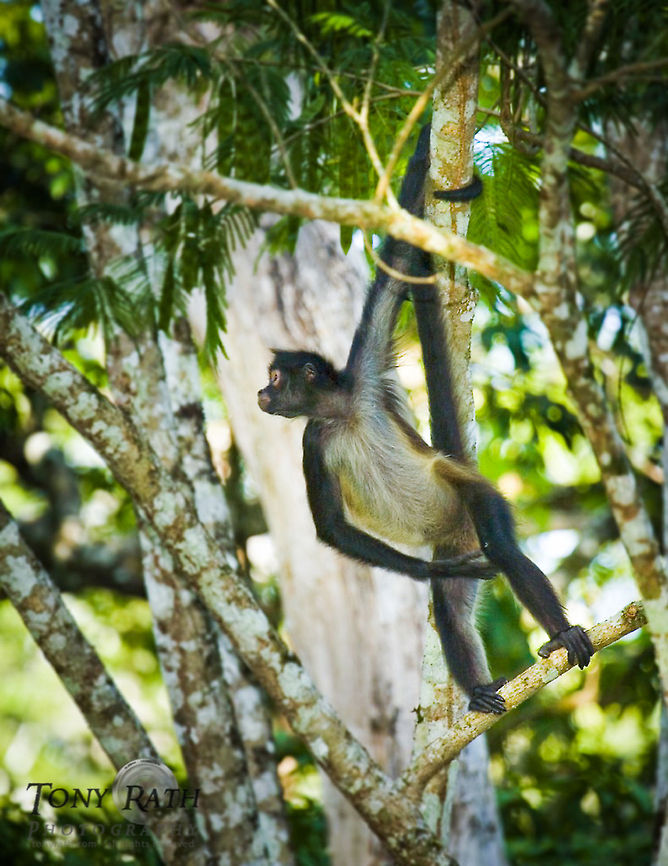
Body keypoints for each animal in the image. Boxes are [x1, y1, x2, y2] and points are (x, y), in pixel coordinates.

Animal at [257, 126, 594, 713]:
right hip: (457, 538)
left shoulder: (365, 373)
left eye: (277, 378)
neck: (343, 413)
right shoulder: (313, 439)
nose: (260, 391)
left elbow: (393, 268)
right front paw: (430, 571)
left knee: (501, 548)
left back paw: (561, 633)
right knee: (451, 607)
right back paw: (480, 689)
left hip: (472, 494)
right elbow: (332, 528)